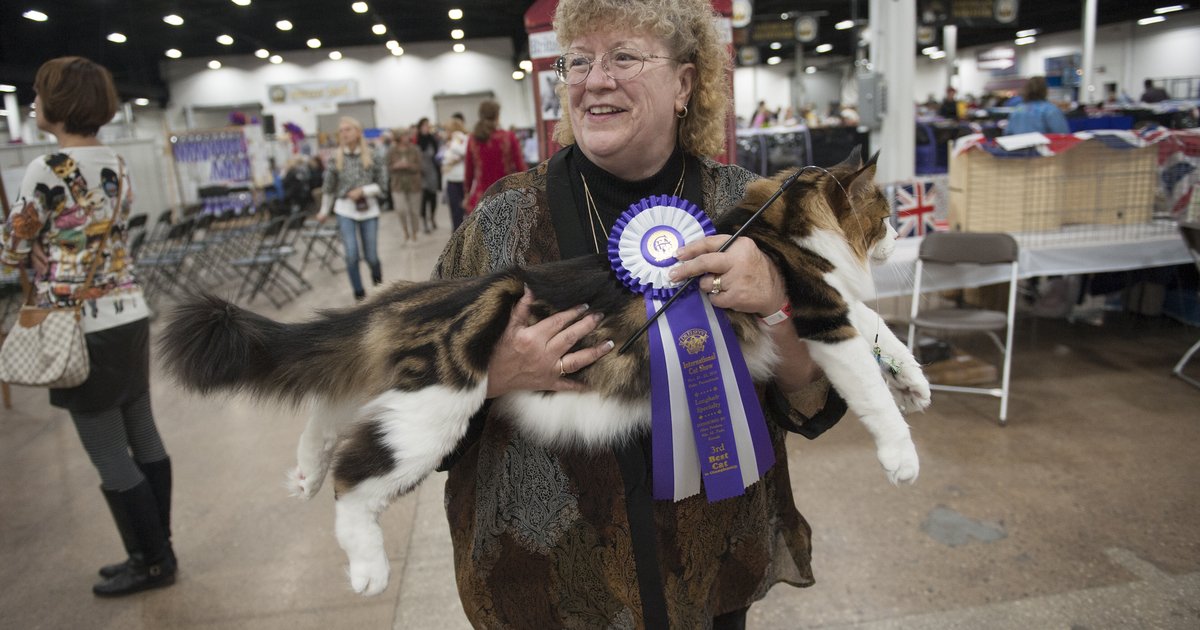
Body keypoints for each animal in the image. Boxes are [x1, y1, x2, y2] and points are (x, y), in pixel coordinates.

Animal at [159, 147, 926, 595]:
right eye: (884, 210)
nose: (902, 232)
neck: (772, 226)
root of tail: (425, 294)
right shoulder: (819, 312)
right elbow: (871, 390)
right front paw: (903, 457)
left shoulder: (833, 310)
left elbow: (884, 331)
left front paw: (916, 380)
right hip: (434, 412)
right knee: (354, 480)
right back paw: (367, 566)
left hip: (400, 392)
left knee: (327, 411)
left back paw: (302, 472)